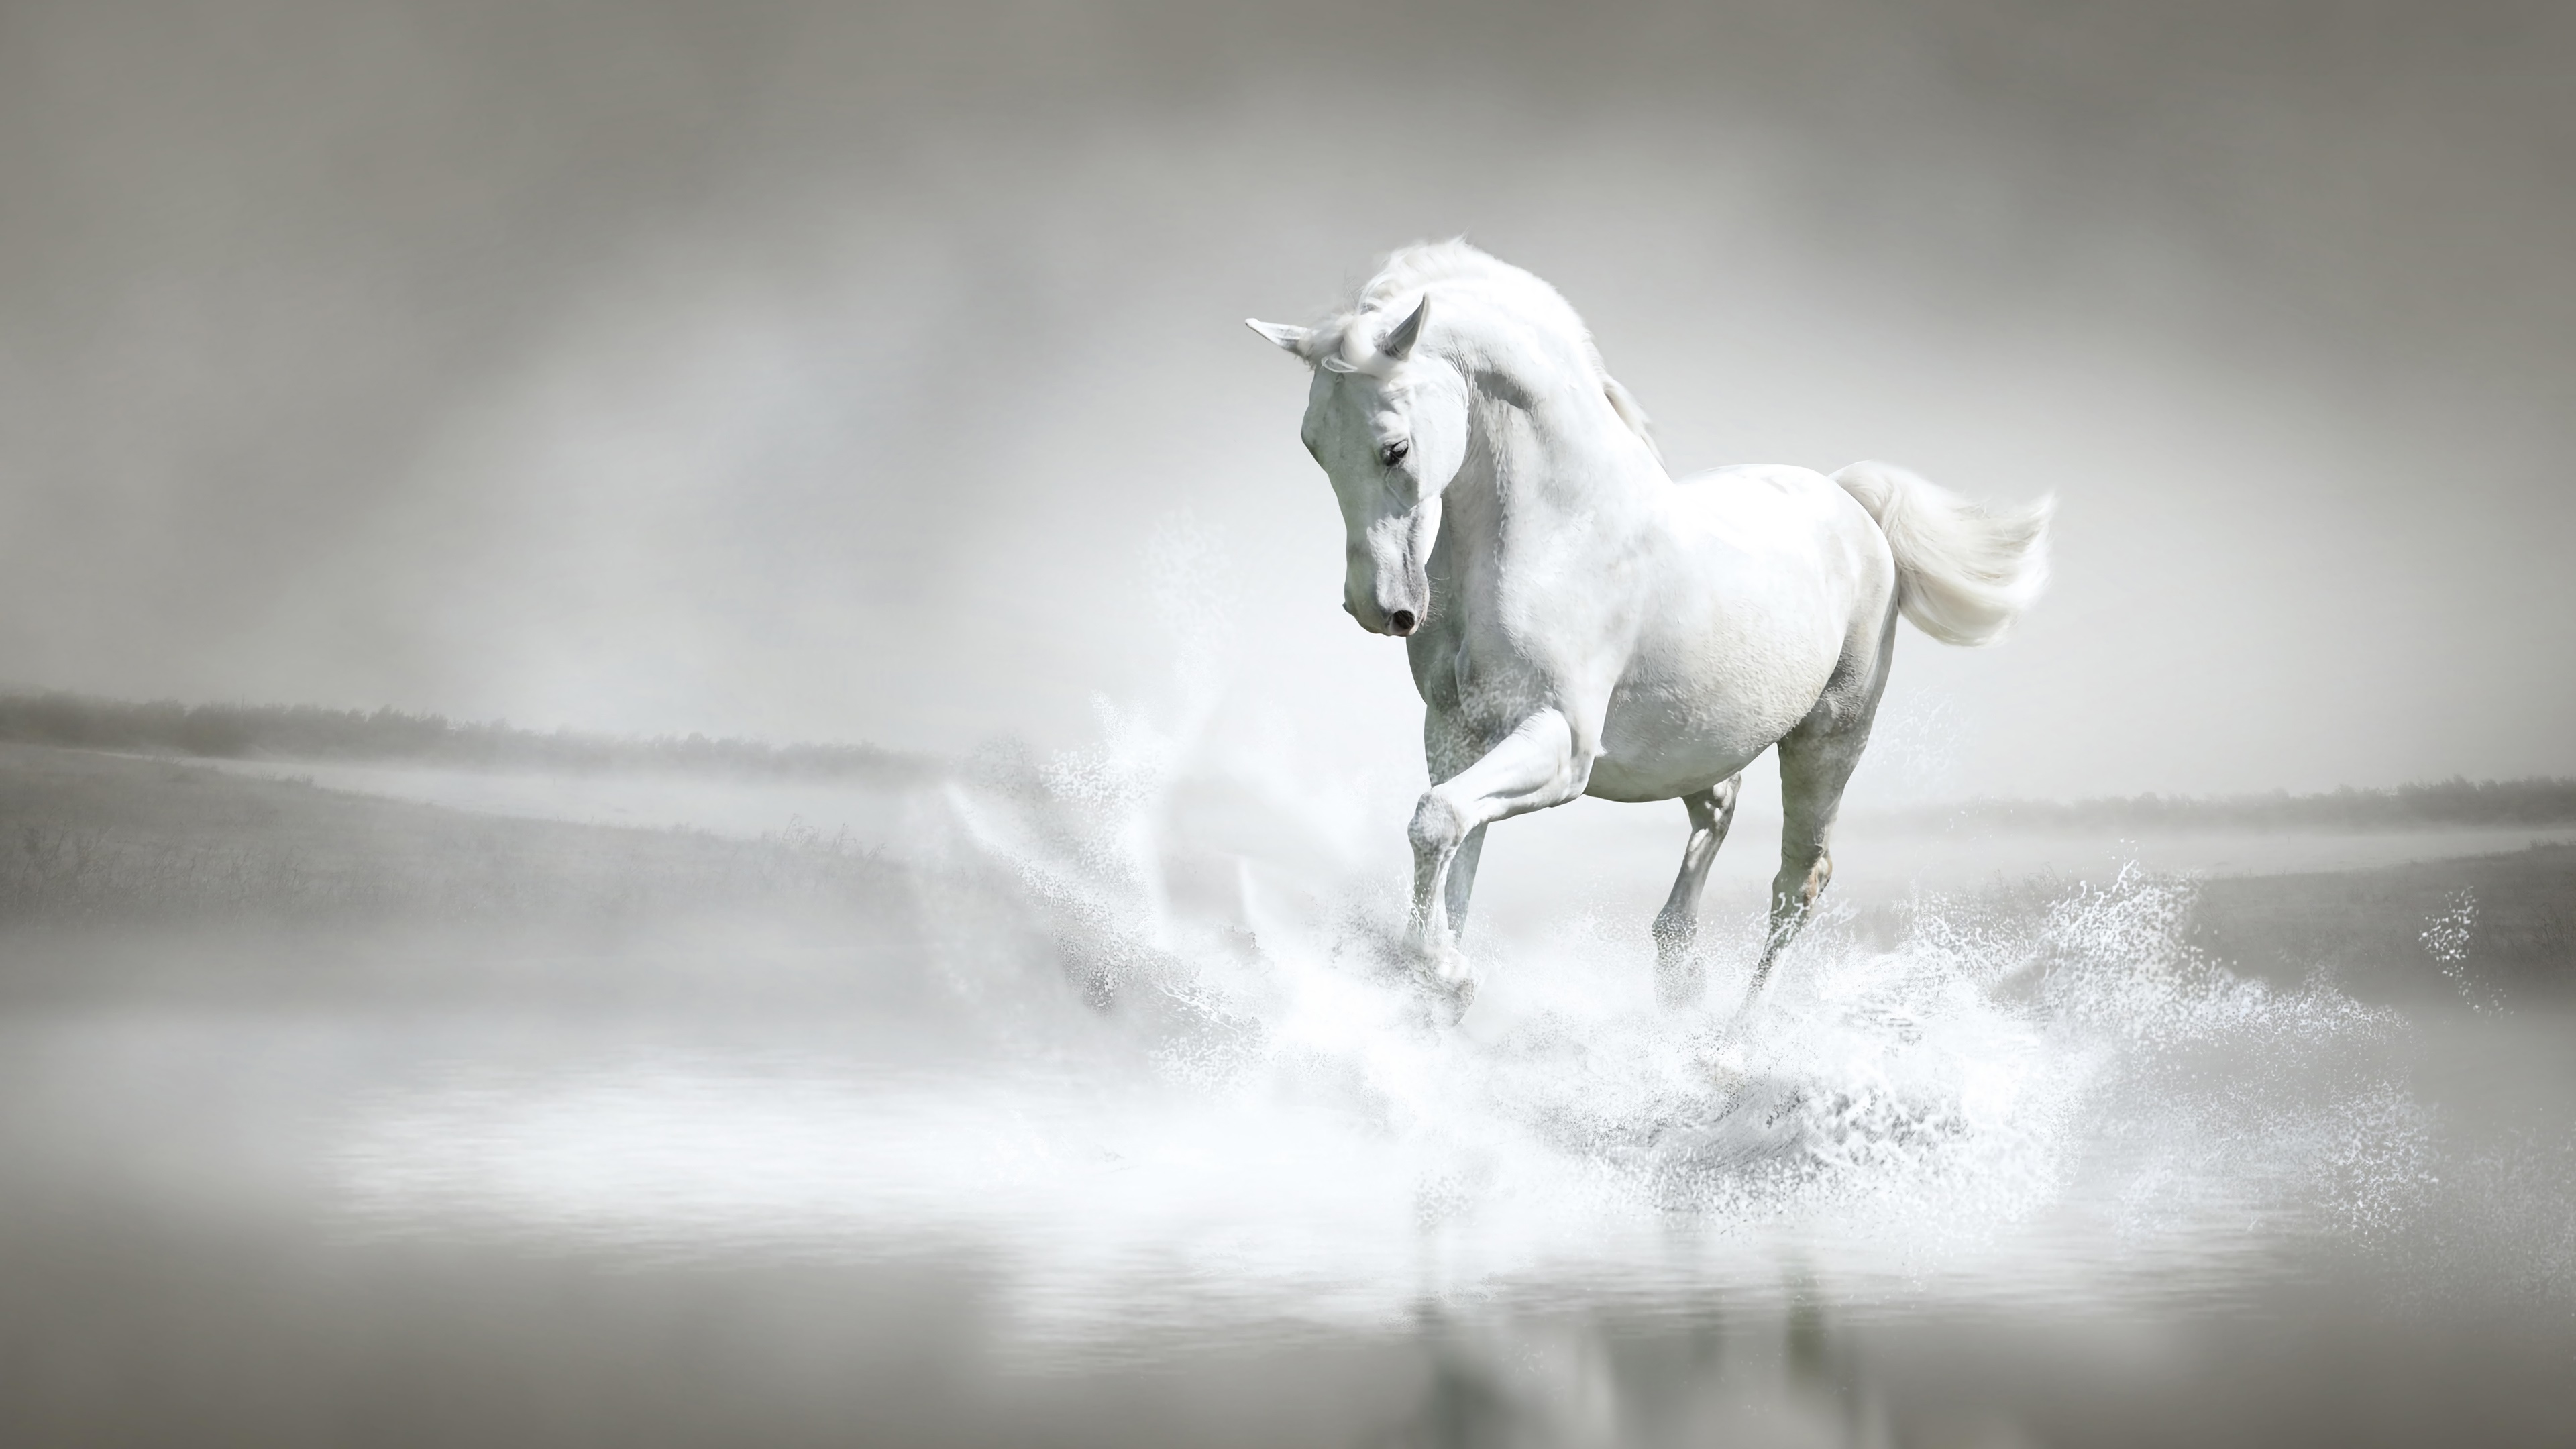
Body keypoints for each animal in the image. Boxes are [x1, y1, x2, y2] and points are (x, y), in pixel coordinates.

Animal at [1247, 241, 2052, 1010]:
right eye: (1313, 445)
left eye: (1396, 448)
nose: (1379, 608)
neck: (1558, 532)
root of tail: (1850, 503)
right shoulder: (1457, 734)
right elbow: (1454, 850)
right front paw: (1439, 984)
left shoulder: (1561, 744)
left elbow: (1438, 821)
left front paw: (1446, 975)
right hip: (1698, 740)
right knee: (1719, 812)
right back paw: (1679, 973)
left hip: (1829, 738)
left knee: (1799, 881)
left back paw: (1736, 1036)